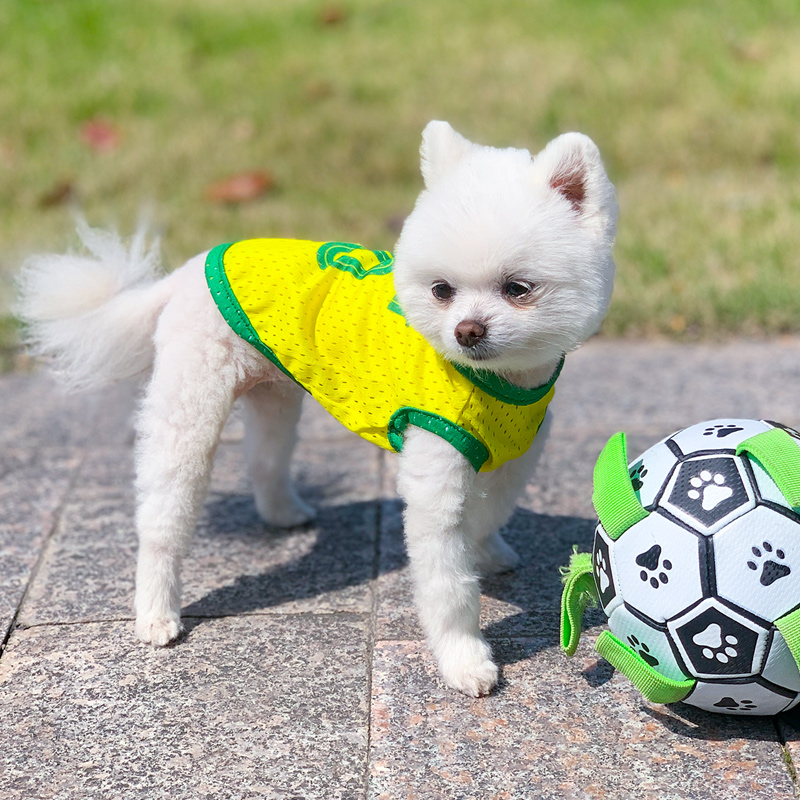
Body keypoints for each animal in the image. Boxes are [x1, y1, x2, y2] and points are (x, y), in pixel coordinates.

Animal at [17, 122, 620, 696]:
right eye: (442, 290)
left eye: (518, 288)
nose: (466, 331)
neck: (503, 385)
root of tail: (183, 271)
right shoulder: (437, 465)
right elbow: (448, 582)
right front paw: (464, 661)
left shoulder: (515, 452)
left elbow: (490, 512)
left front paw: (488, 552)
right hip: (190, 407)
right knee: (163, 515)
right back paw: (156, 613)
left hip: (275, 395)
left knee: (265, 458)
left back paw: (284, 513)